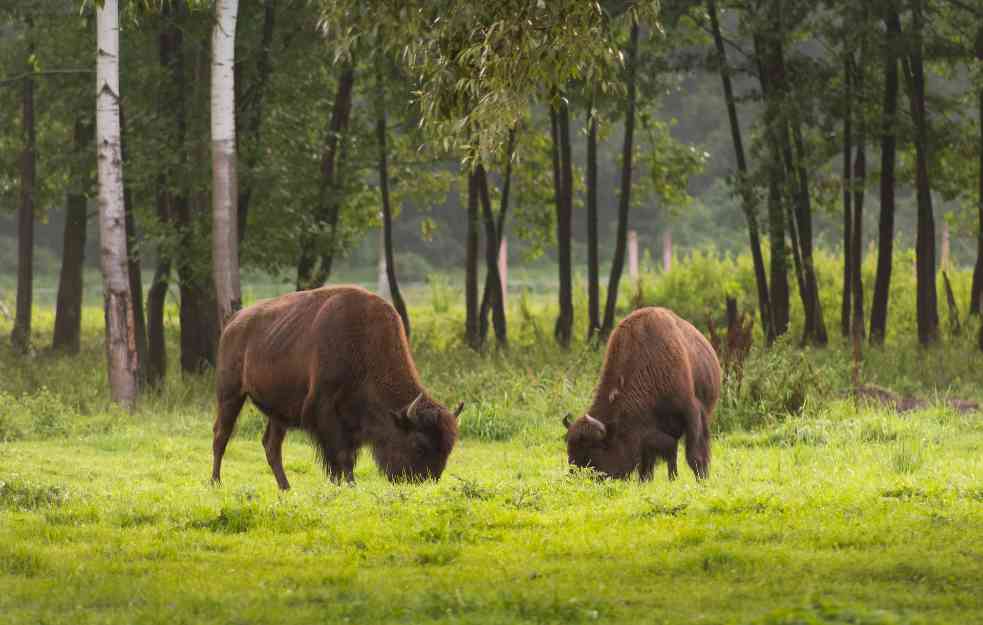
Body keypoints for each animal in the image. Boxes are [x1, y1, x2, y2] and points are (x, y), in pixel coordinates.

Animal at [209, 286, 464, 490]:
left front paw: (345, 484)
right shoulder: (327, 414)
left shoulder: (352, 423)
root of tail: (233, 322)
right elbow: (341, 456)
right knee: (221, 435)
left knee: (271, 446)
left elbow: (347, 457)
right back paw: (216, 482)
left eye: (449, 448)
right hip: (230, 394)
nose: (426, 482)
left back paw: (286, 488)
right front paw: (348, 485)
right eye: (419, 445)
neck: (364, 345)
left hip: (279, 411)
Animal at [560, 306, 724, 478]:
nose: (576, 477)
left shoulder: (692, 412)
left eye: (593, 448)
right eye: (569, 449)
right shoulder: (647, 434)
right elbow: (648, 464)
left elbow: (694, 455)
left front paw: (702, 478)